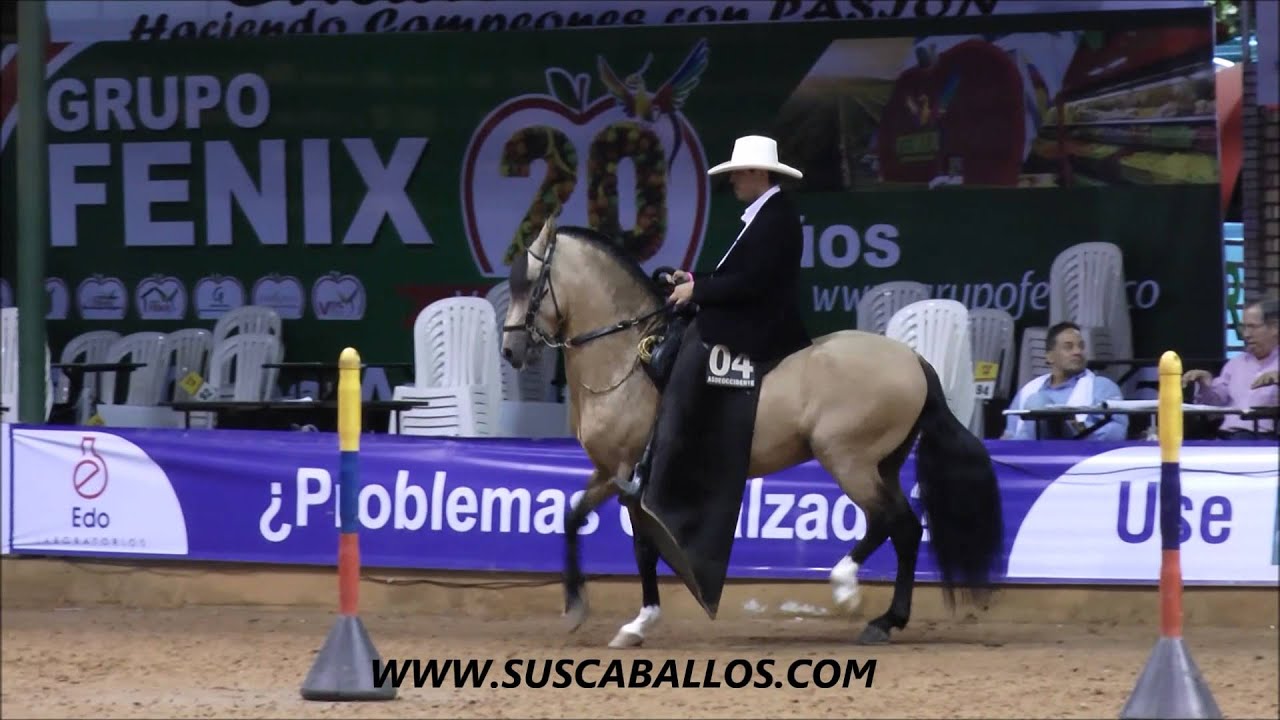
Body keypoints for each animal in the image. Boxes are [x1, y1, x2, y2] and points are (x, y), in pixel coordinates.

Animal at [499, 214, 1004, 647]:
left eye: (533, 284)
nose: (510, 350)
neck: (629, 356)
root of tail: (914, 360)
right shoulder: (609, 471)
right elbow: (572, 517)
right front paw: (577, 606)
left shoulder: (630, 474)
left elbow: (643, 544)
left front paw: (639, 622)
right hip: (884, 464)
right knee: (907, 530)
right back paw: (887, 620)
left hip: (847, 459)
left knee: (891, 520)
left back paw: (847, 589)